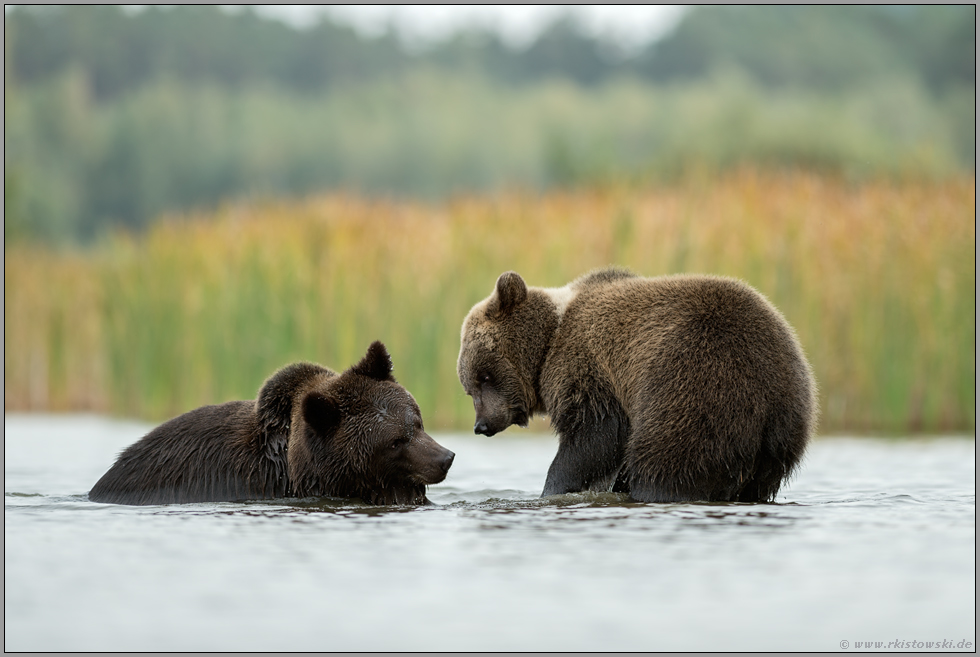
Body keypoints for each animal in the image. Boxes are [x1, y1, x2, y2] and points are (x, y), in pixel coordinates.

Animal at [457, 267, 816, 503]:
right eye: (469, 387)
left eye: (484, 376)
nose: (481, 425)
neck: (548, 344)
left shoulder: (590, 368)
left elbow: (594, 436)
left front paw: (552, 488)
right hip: (782, 433)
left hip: (697, 387)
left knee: (667, 462)